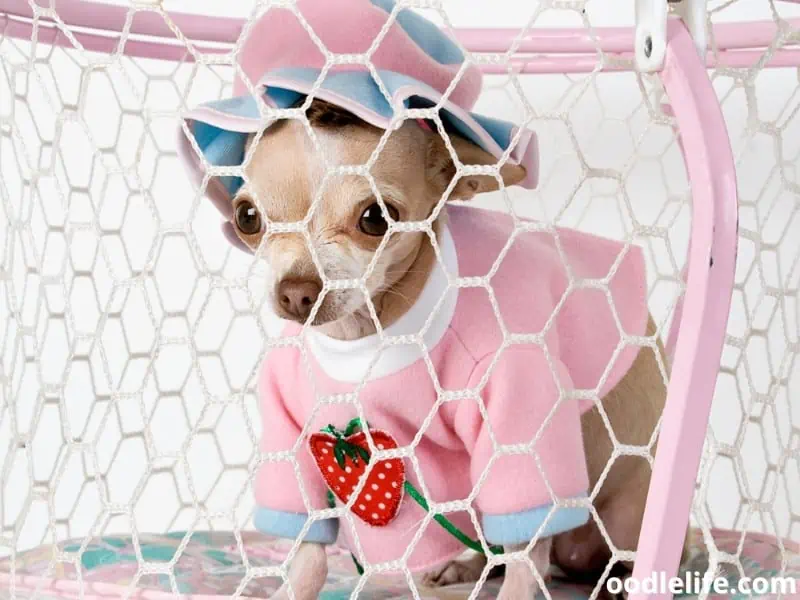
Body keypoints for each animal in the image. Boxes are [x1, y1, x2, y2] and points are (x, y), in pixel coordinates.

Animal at [231, 101, 676, 596]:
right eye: (247, 217)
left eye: (375, 218)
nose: (296, 292)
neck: (368, 332)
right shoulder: (292, 431)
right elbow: (308, 551)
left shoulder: (518, 415)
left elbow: (525, 552)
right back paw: (466, 565)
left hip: (622, 517)